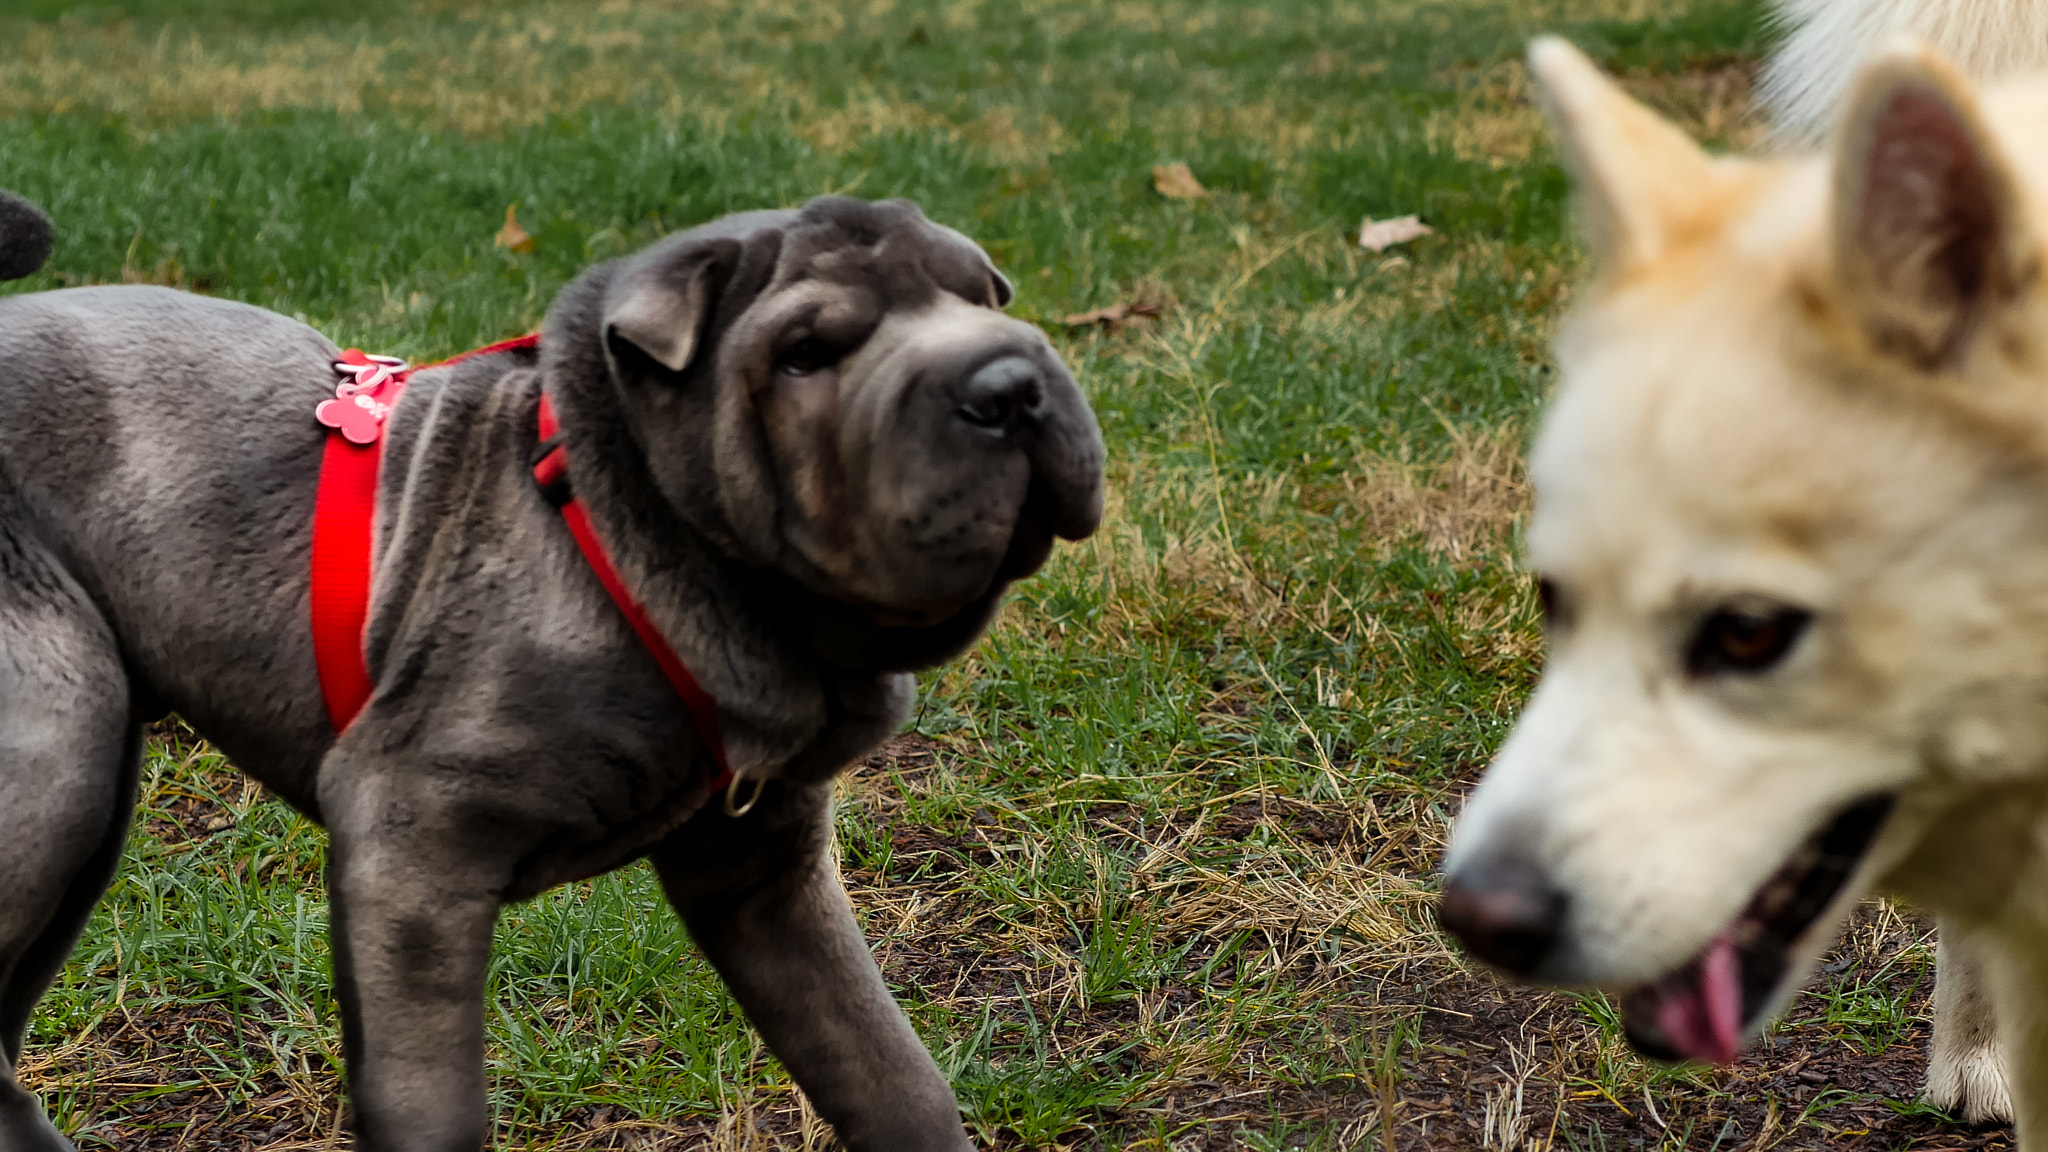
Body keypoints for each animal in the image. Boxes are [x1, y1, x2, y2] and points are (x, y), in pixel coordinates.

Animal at [0, 192, 1105, 1139]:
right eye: (803, 356)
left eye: (980, 295)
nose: (1009, 388)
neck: (621, 531)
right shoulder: (412, 845)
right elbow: (431, 1105)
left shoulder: (766, 876)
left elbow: (885, 1069)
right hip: (60, 750)